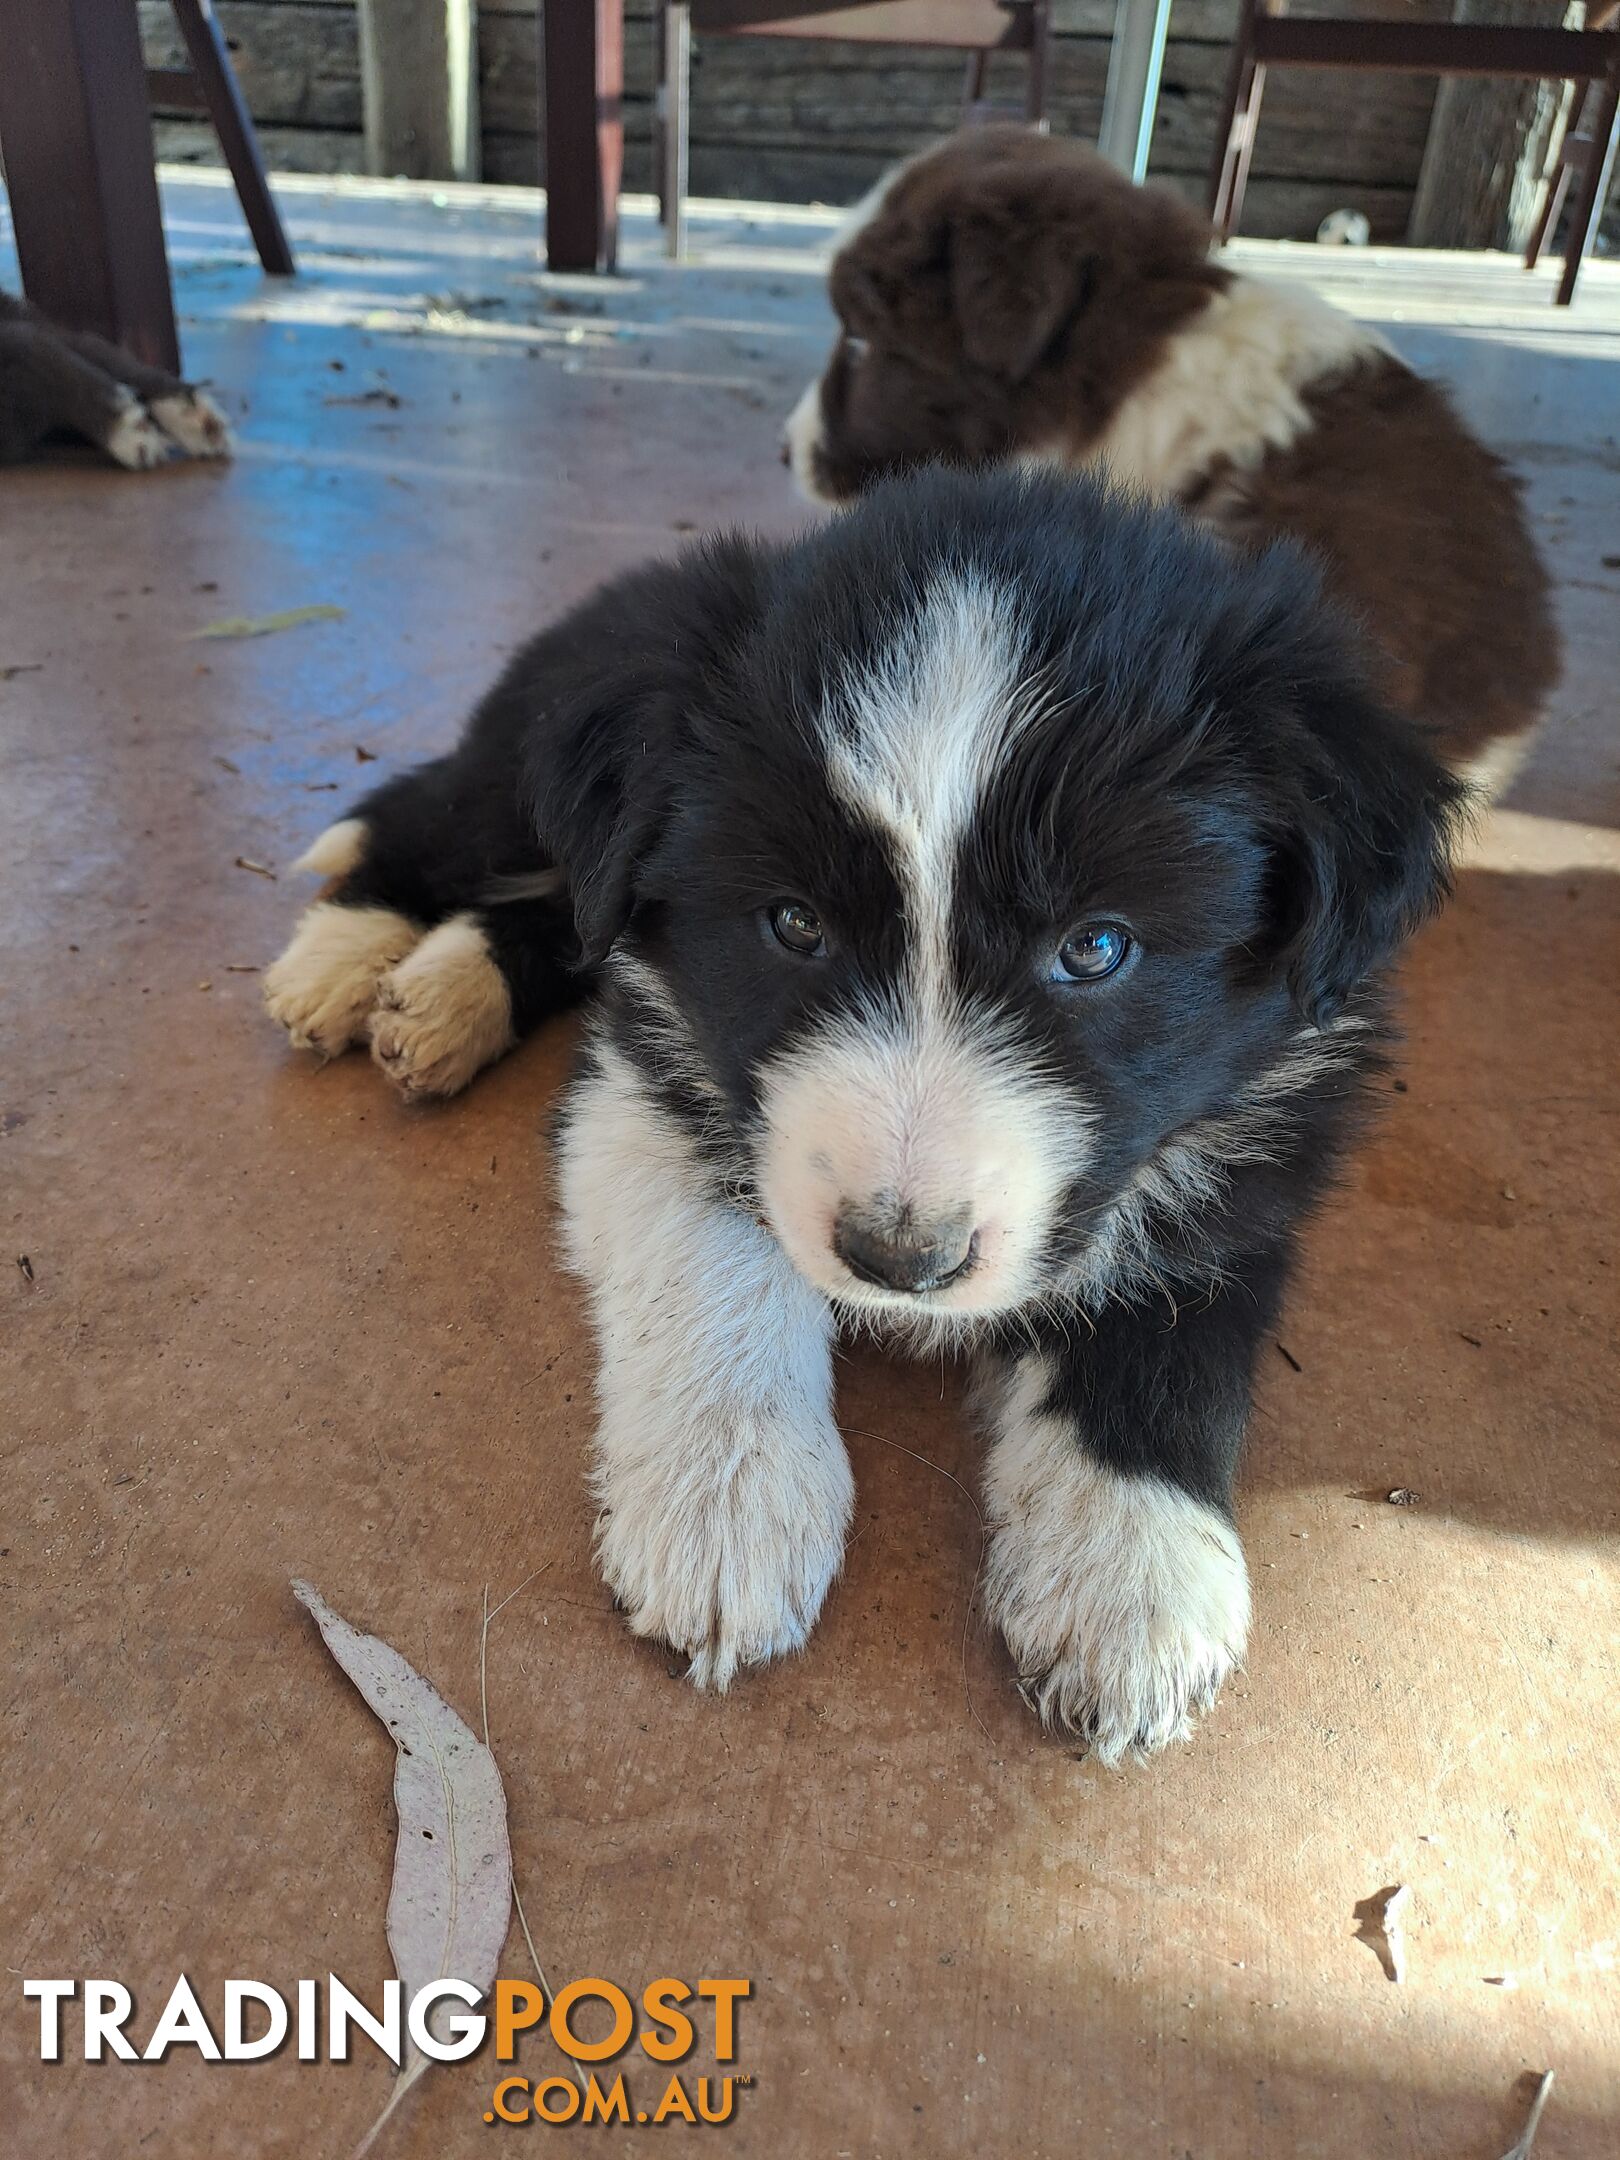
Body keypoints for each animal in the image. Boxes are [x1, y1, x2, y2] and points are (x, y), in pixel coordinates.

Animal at [270, 468, 1468, 1753]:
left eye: (1097, 947)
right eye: (795, 925)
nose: (902, 1259)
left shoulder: (1263, 1140)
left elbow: (1169, 1333)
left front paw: (1131, 1577)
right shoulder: (651, 1068)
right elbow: (723, 1263)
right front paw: (728, 1503)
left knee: (546, 912)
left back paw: (439, 997)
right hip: (520, 778)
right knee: (435, 824)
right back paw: (348, 957)